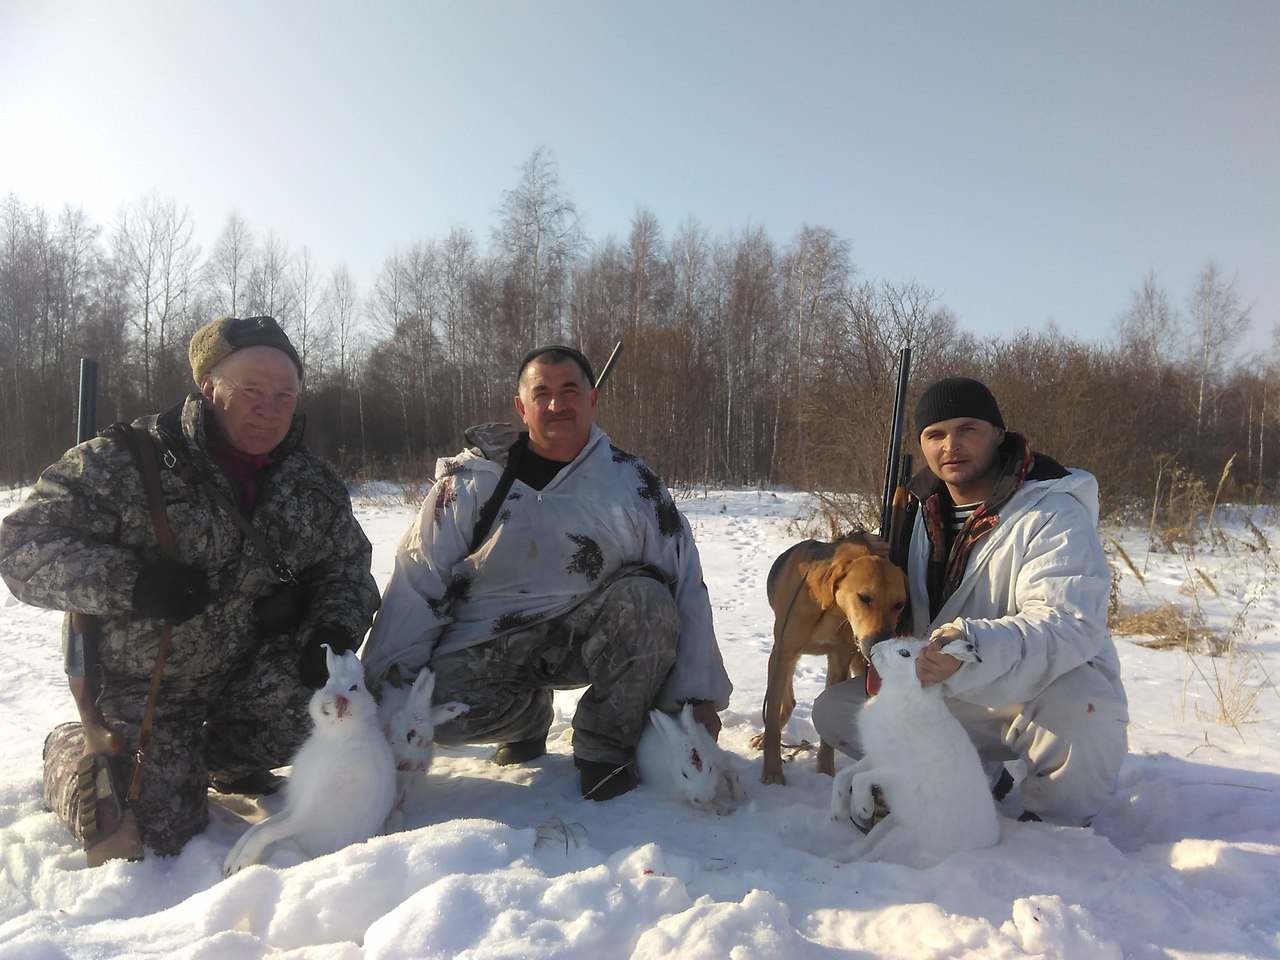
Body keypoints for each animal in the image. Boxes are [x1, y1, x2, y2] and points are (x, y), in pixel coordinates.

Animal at [747, 529, 911, 783]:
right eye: (864, 598)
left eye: (899, 604)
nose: (881, 644)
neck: (832, 610)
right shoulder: (783, 653)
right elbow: (772, 718)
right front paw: (773, 772)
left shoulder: (839, 661)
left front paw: (824, 773)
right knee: (786, 700)